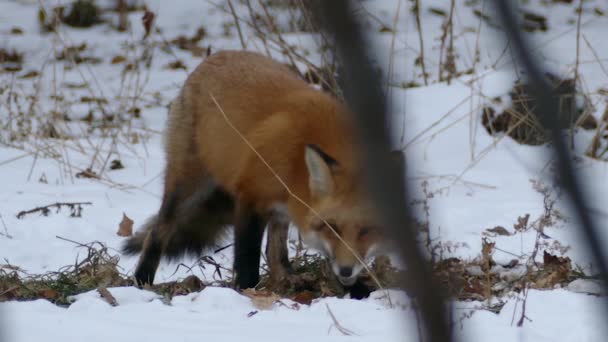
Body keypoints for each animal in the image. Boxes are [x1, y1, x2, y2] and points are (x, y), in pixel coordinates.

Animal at [124, 50, 400, 292]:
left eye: (367, 230)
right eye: (332, 227)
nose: (345, 270)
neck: (297, 162)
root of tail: (217, 55)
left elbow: (276, 252)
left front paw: (357, 291)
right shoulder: (250, 197)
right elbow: (247, 260)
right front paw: (245, 291)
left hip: (276, 213)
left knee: (276, 253)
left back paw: (287, 280)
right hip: (187, 185)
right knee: (158, 232)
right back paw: (142, 280)